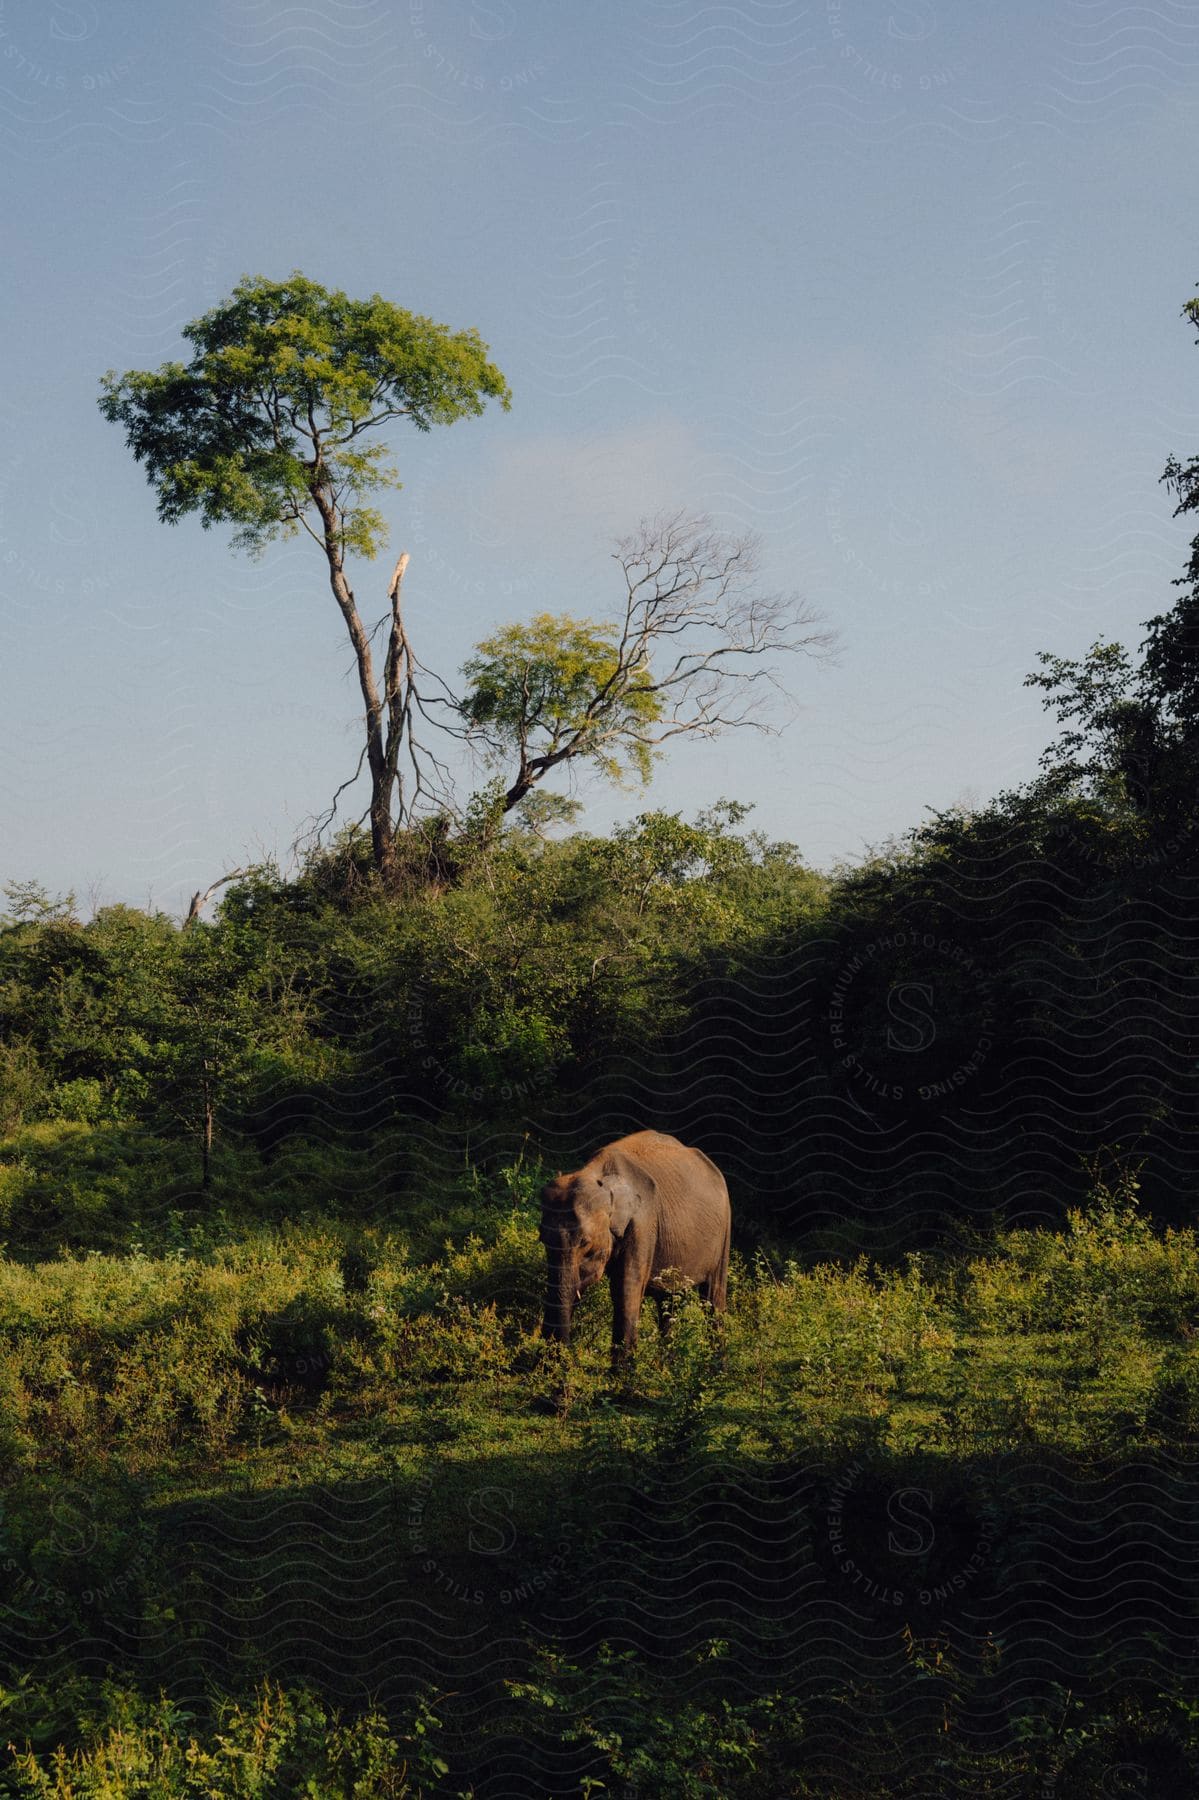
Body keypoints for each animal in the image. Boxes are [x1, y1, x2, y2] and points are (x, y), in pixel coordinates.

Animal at [532, 1123, 723, 1353]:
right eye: (543, 1240)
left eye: (585, 1243)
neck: (600, 1176)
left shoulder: (643, 1224)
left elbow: (625, 1292)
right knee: (668, 1304)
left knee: (713, 1298)